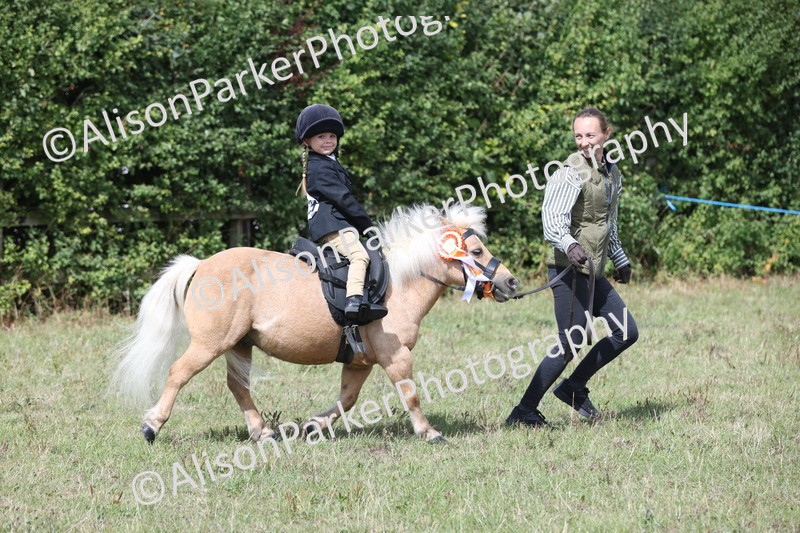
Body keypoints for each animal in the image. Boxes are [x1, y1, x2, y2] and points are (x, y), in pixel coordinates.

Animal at [111, 203, 518, 444]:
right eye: (476, 251)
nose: (511, 282)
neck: (398, 284)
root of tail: (201, 265)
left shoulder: (360, 361)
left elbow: (347, 399)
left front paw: (313, 426)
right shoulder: (395, 355)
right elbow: (410, 394)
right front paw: (429, 432)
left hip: (239, 344)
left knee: (238, 386)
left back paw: (263, 433)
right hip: (210, 344)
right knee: (178, 374)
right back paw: (152, 426)